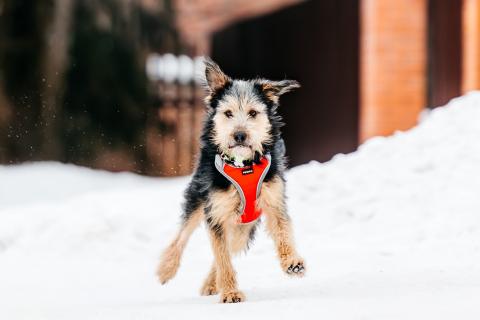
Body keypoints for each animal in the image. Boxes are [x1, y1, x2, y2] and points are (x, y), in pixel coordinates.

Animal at [156, 59, 306, 302]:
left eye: (253, 113)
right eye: (228, 113)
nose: (239, 135)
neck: (243, 165)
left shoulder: (273, 200)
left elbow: (283, 231)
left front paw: (292, 262)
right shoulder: (216, 211)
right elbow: (222, 257)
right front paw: (230, 292)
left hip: (243, 225)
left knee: (227, 247)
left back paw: (210, 283)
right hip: (199, 199)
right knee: (182, 236)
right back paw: (166, 269)